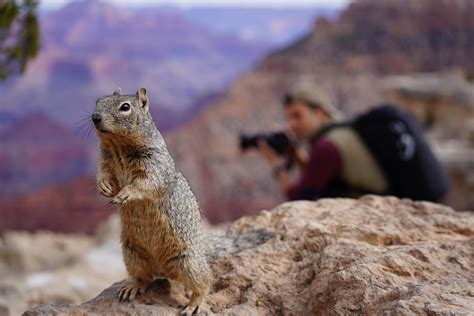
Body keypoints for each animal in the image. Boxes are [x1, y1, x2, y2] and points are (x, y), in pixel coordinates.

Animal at [92, 87, 211, 314]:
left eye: (125, 107)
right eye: (98, 101)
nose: (95, 117)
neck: (118, 146)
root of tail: (164, 270)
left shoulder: (155, 164)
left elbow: (148, 182)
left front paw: (126, 193)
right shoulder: (105, 161)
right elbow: (103, 174)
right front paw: (103, 187)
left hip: (188, 261)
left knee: (204, 283)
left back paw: (195, 304)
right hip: (132, 253)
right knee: (144, 278)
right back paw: (131, 287)